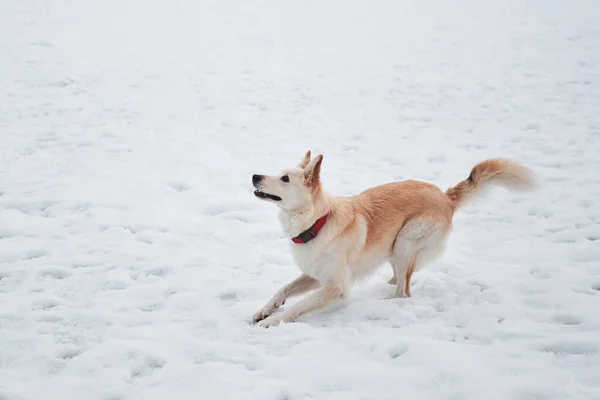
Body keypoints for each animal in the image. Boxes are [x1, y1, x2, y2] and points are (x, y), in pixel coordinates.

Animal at [251, 152, 536, 326]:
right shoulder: (315, 274)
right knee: (400, 278)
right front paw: (265, 310)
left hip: (404, 242)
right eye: (279, 173)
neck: (318, 222)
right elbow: (284, 288)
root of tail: (446, 197)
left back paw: (385, 301)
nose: (255, 175)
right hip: (394, 248)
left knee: (404, 292)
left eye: (284, 179)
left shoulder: (336, 286)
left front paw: (273, 321)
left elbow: (297, 306)